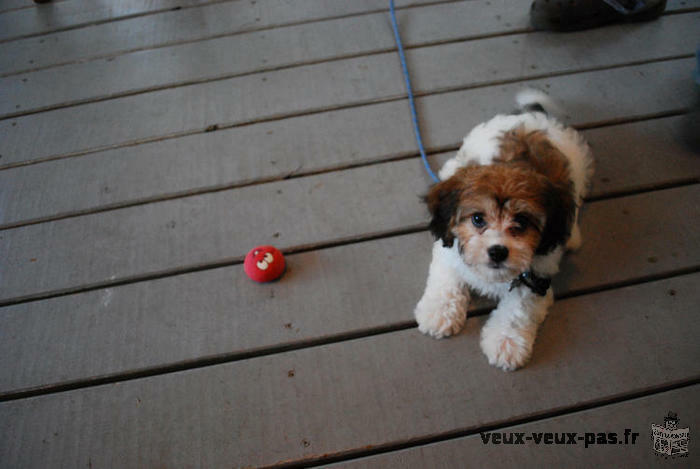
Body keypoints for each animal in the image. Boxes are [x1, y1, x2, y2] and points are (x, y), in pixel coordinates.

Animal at [412, 88, 592, 370]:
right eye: (477, 219)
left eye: (521, 222)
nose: (497, 251)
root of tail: (533, 116)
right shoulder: (448, 248)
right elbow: (447, 278)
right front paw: (438, 312)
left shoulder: (535, 279)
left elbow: (518, 309)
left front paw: (506, 343)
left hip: (580, 168)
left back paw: (573, 235)